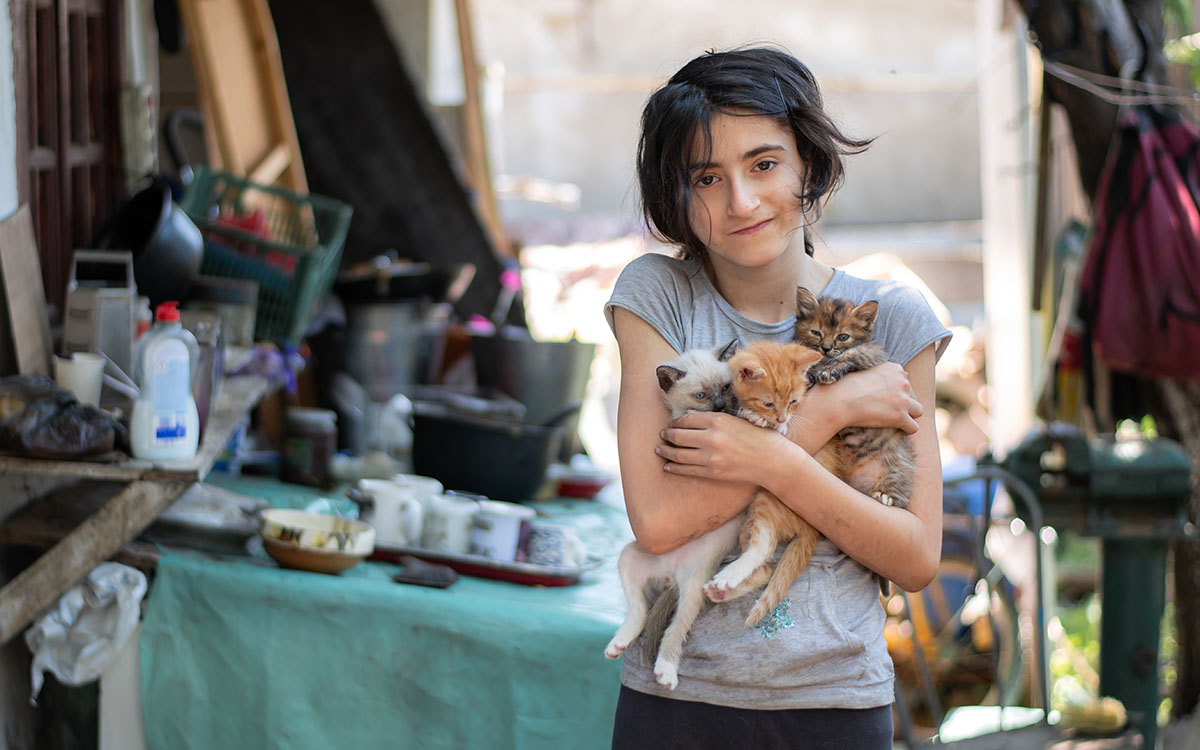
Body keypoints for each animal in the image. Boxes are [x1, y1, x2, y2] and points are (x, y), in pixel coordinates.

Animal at [700, 338, 830, 624]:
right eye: (769, 403)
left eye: (793, 402)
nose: (782, 418)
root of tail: (814, 528)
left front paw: (763, 420)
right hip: (746, 523)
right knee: (767, 567)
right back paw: (721, 591)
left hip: (768, 500)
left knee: (765, 546)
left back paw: (728, 576)